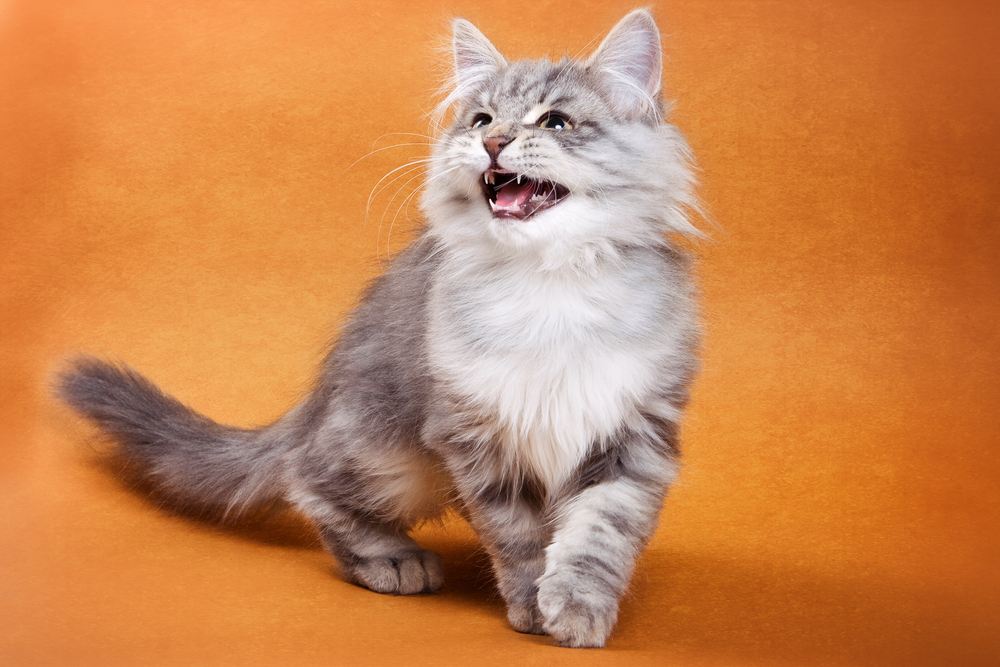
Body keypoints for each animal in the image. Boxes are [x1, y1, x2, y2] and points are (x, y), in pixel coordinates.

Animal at [58, 9, 700, 648]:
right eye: (482, 120)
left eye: (557, 122)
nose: (493, 142)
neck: (550, 280)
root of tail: (317, 399)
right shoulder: (471, 431)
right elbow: (516, 536)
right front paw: (530, 608)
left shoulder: (634, 430)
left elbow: (598, 534)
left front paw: (579, 611)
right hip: (388, 452)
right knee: (307, 479)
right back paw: (392, 559)